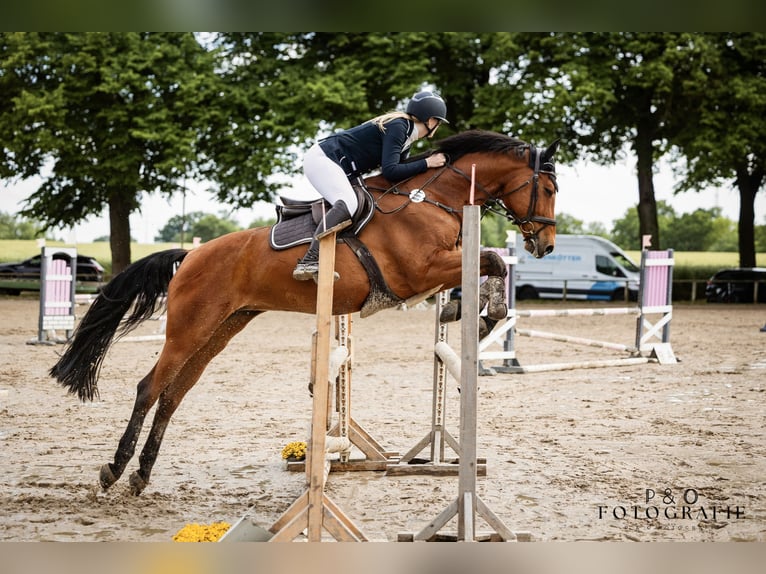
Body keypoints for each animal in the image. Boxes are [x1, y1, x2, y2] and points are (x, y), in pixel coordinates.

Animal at [50, 129, 559, 495]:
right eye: (550, 187)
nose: (546, 244)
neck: (433, 198)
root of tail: (191, 255)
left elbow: (486, 264)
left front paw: (465, 309)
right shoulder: (417, 272)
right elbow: (493, 258)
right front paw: (483, 312)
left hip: (220, 329)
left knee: (174, 394)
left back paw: (142, 474)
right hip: (187, 329)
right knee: (149, 388)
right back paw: (114, 470)